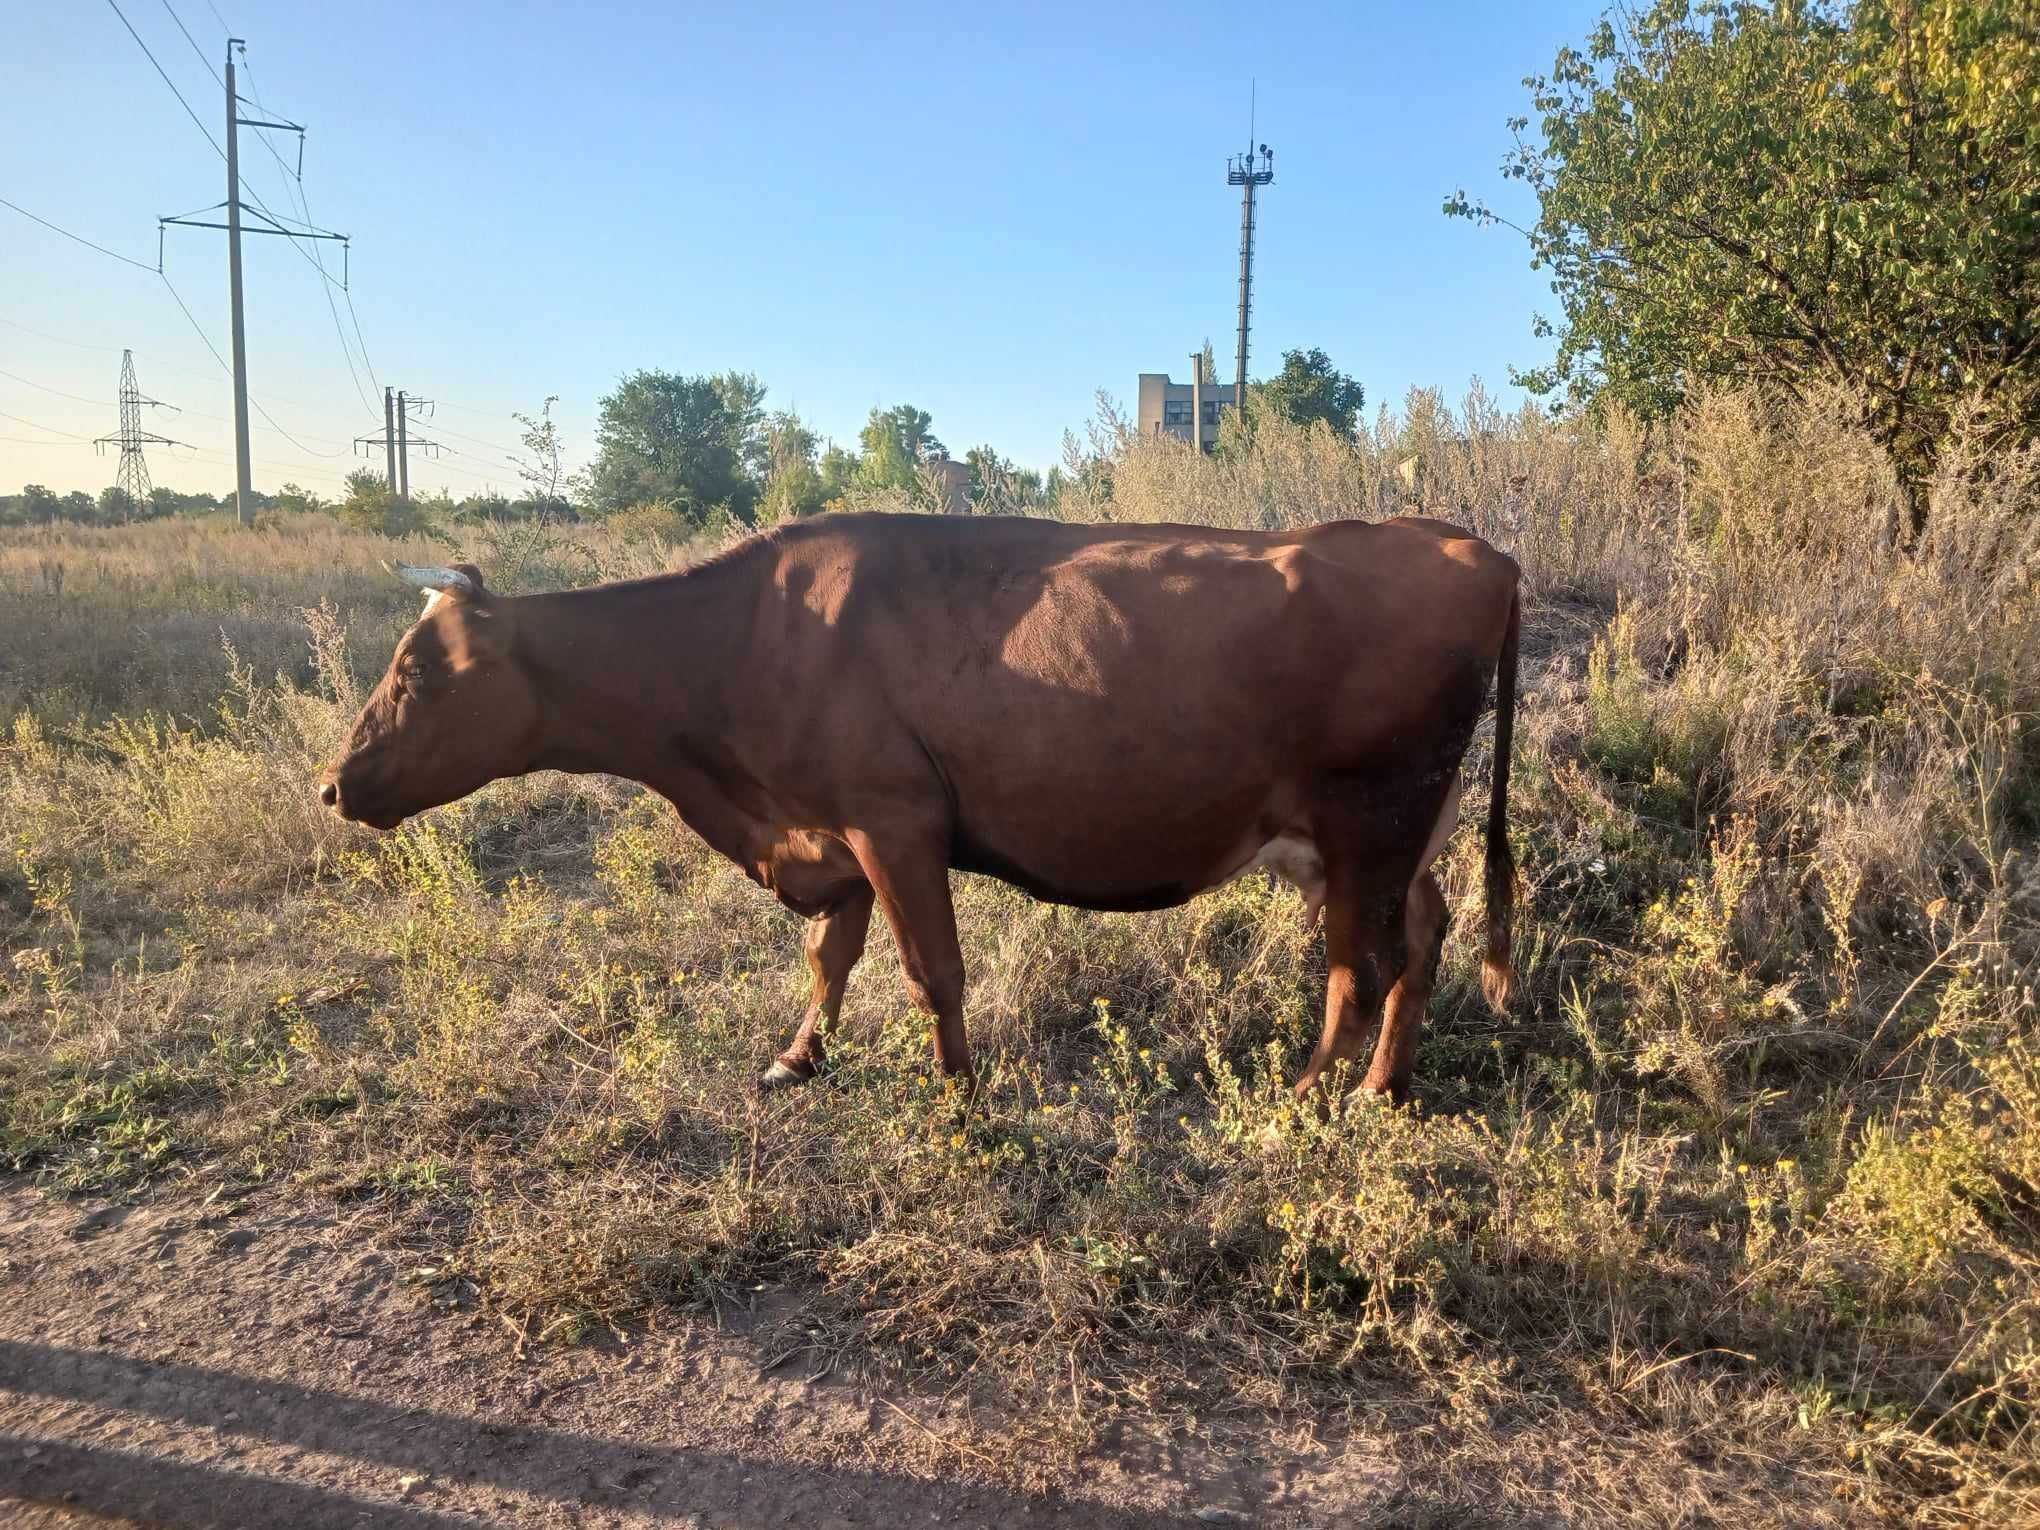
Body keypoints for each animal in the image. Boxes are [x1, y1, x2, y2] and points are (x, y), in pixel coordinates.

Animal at [318, 512, 1525, 1101]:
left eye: (416, 675)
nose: (334, 784)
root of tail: (1468, 544)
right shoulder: (830, 831)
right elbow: (831, 958)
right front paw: (797, 1060)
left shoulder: (891, 819)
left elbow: (925, 968)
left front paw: (960, 1098)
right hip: (1397, 834)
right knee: (1424, 939)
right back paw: (1383, 1091)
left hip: (1369, 821)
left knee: (1359, 972)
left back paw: (1304, 1104)